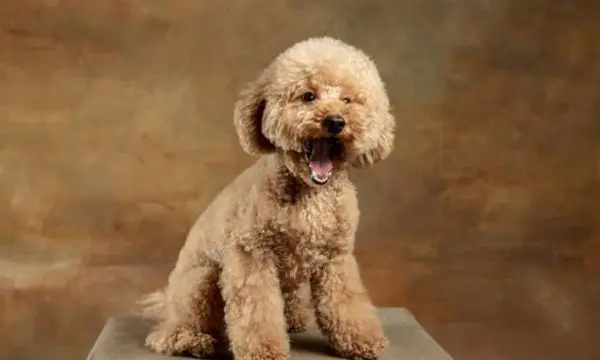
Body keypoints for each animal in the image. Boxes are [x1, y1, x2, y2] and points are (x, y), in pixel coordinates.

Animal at [139, 36, 396, 360]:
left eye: (348, 100)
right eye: (308, 96)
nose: (335, 121)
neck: (309, 194)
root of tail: (167, 302)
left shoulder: (336, 257)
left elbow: (346, 302)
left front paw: (362, 339)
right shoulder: (252, 256)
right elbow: (257, 311)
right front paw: (264, 350)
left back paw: (294, 319)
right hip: (201, 280)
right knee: (171, 331)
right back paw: (191, 340)